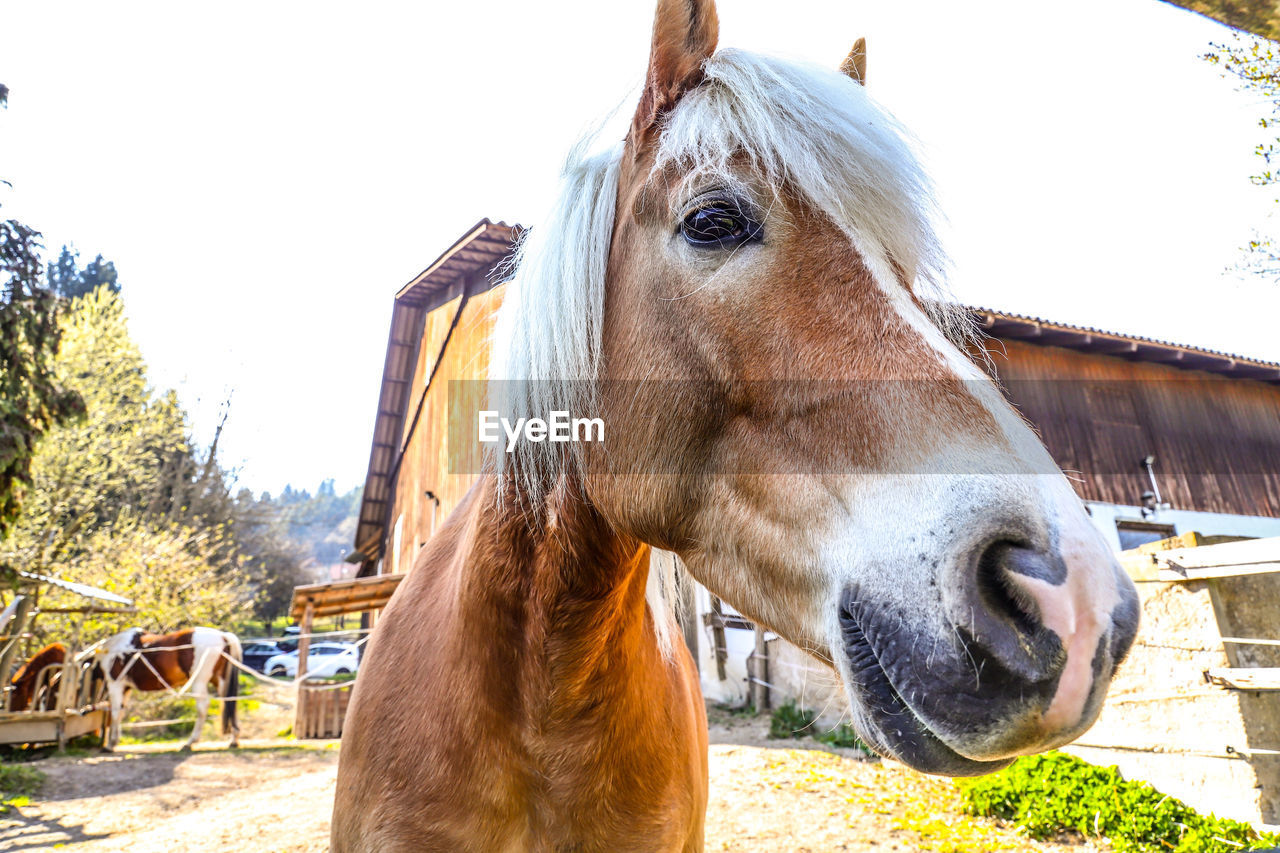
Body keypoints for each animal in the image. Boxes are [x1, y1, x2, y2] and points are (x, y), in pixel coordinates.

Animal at [94, 622, 241, 747]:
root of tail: (223, 636)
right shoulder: (126, 688)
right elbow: (120, 712)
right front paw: (114, 741)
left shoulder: (115, 684)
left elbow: (115, 712)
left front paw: (110, 744)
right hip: (220, 681)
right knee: (229, 702)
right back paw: (234, 739)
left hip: (199, 681)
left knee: (203, 706)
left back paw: (191, 741)